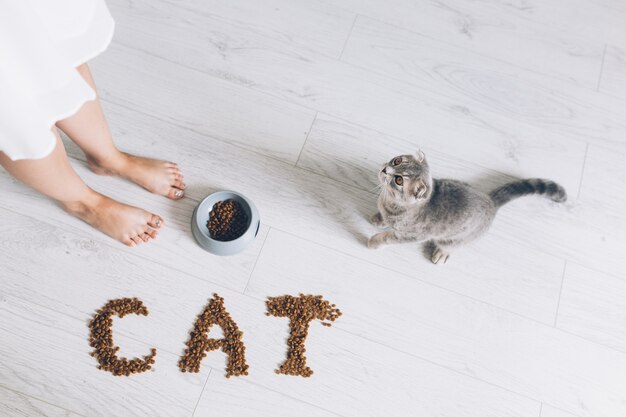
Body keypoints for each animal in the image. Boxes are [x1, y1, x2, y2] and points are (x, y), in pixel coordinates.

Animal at [366, 151, 564, 264]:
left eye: (399, 180)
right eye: (397, 161)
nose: (385, 170)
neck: (390, 202)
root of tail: (490, 201)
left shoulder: (411, 236)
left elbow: (388, 238)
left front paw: (374, 242)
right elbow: (384, 219)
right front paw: (378, 218)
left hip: (456, 239)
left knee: (451, 245)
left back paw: (442, 253)